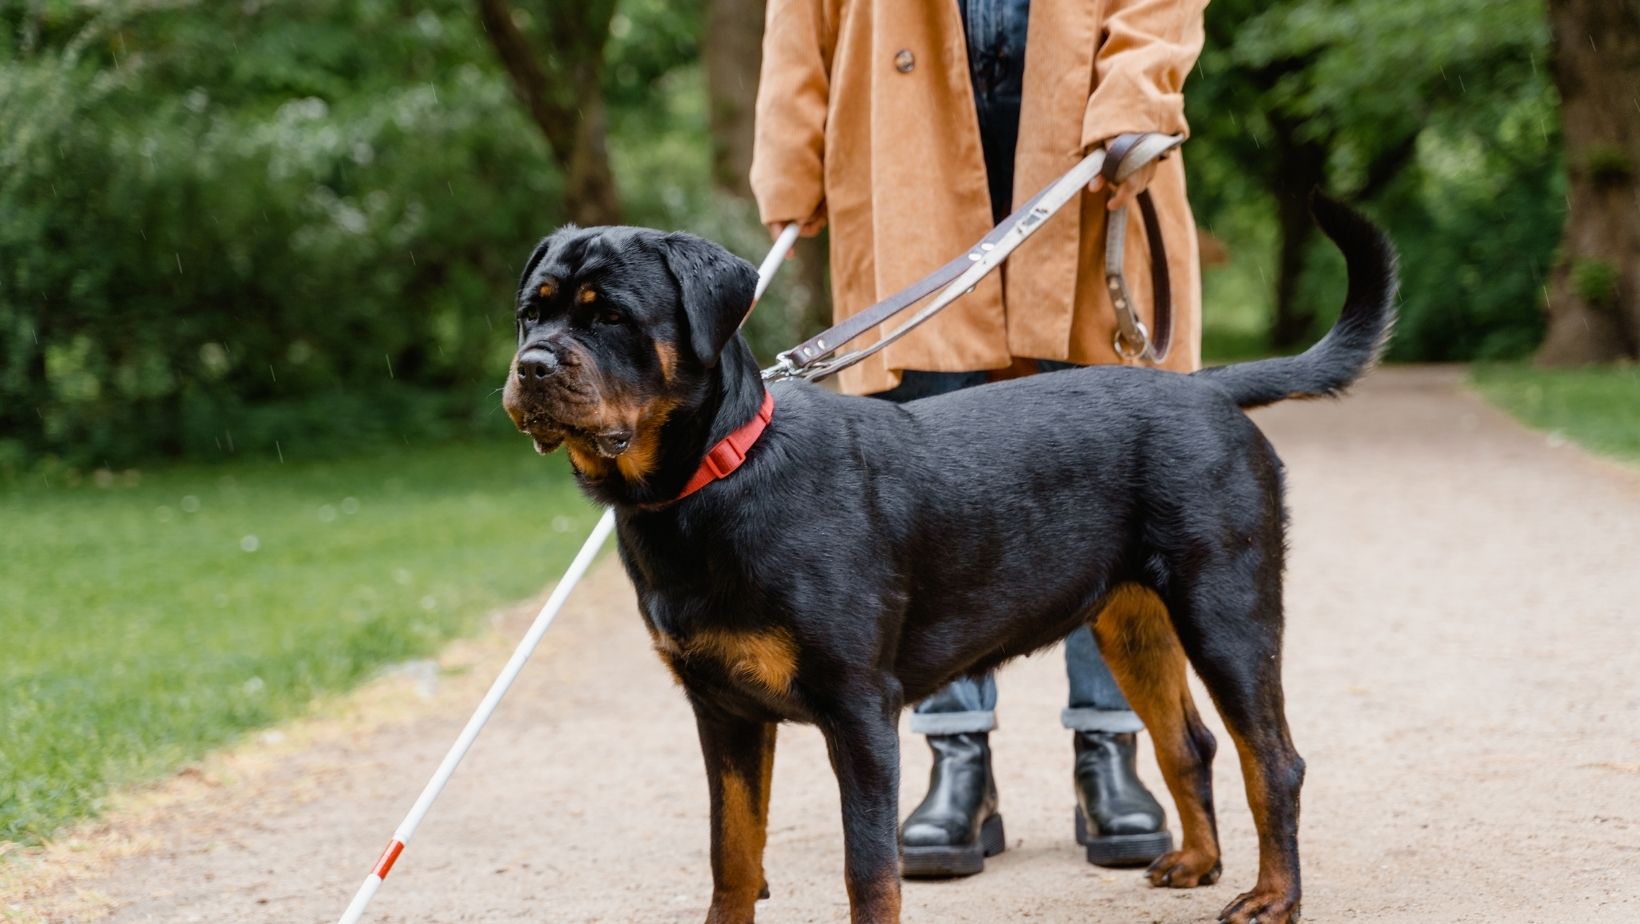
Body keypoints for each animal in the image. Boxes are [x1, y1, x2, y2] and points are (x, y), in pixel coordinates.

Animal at [498, 196, 1397, 924]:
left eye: (611, 316)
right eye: (529, 315)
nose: (531, 366)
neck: (716, 480)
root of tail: (1210, 387)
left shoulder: (859, 711)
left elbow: (869, 872)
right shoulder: (723, 712)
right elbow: (733, 856)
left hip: (1228, 613)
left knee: (1273, 761)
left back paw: (1273, 896)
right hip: (1133, 623)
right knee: (1192, 744)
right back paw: (1199, 862)